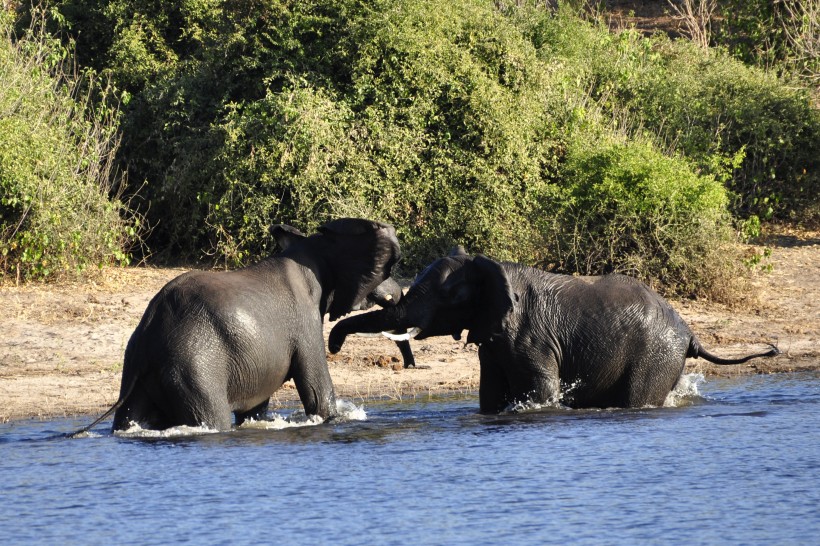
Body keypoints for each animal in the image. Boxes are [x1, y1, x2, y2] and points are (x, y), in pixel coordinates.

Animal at [73, 217, 400, 434]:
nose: (396, 292)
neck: (313, 248)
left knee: (128, 418)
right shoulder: (305, 321)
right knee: (212, 417)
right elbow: (318, 396)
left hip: (136, 369)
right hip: (193, 367)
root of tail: (148, 335)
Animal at [330, 249, 780, 410]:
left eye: (450, 296)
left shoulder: (531, 337)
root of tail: (691, 333)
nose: (332, 344)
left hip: (656, 355)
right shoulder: (494, 339)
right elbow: (490, 394)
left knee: (637, 398)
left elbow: (541, 390)